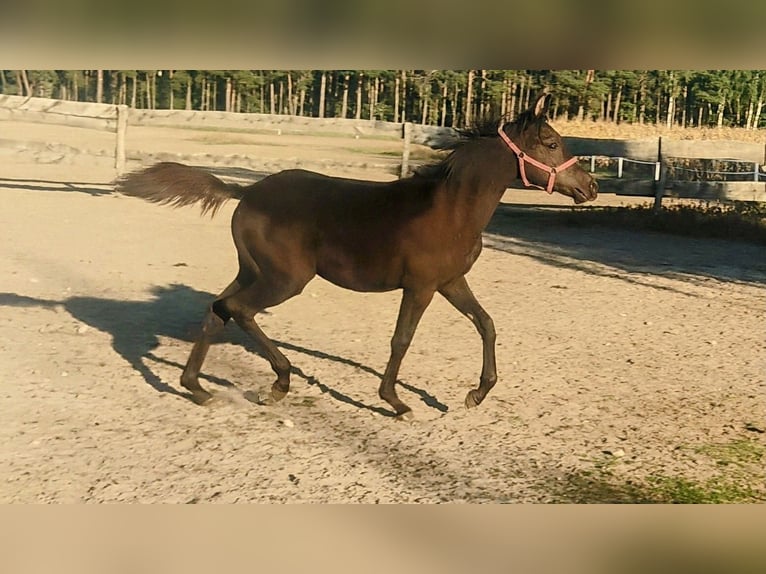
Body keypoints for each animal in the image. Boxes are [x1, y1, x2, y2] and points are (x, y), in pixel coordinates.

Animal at [115, 93, 600, 418]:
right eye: (551, 144)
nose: (590, 187)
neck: (452, 209)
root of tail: (245, 191)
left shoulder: (450, 282)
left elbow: (486, 324)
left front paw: (476, 394)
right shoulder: (421, 287)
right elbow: (402, 339)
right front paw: (397, 402)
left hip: (254, 270)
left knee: (217, 308)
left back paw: (197, 388)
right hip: (285, 278)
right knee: (237, 308)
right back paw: (279, 382)